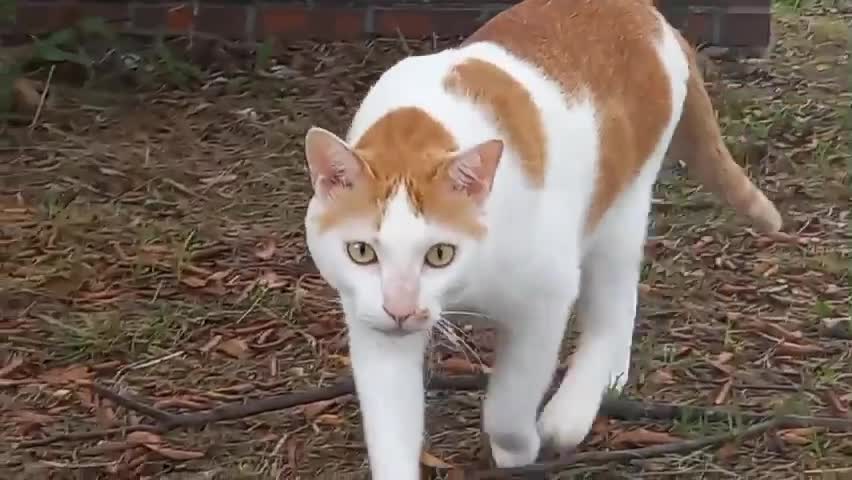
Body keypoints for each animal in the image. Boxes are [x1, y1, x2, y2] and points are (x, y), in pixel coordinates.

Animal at [302, 0, 784, 476]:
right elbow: (391, 431)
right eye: (361, 252)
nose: (401, 309)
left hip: (620, 206)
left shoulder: (544, 301)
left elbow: (508, 405)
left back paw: (575, 407)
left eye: (440, 254)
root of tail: (646, 12)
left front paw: (520, 448)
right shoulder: (374, 326)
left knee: (614, 307)